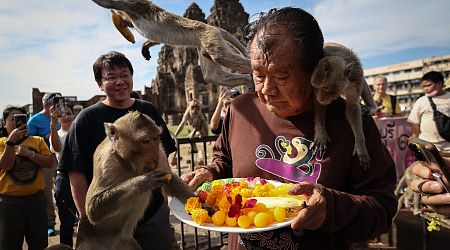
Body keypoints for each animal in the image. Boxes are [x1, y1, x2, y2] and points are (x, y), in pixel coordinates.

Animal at [73, 112, 193, 250]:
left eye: (155, 138)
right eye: (146, 141)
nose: (155, 158)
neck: (130, 164)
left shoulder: (161, 153)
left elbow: (170, 180)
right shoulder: (105, 162)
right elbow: (93, 209)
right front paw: (144, 181)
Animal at [89, 0, 251, 88]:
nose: (125, 24)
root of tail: (214, 27)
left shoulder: (134, 5)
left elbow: (107, 2)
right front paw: (146, 46)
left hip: (209, 35)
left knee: (220, 57)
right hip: (204, 46)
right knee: (212, 76)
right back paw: (248, 80)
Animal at [312, 42, 378, 170]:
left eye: (326, 87)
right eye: (317, 87)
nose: (320, 97)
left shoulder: (356, 78)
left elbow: (353, 107)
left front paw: (360, 145)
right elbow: (320, 105)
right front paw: (321, 134)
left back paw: (371, 107)